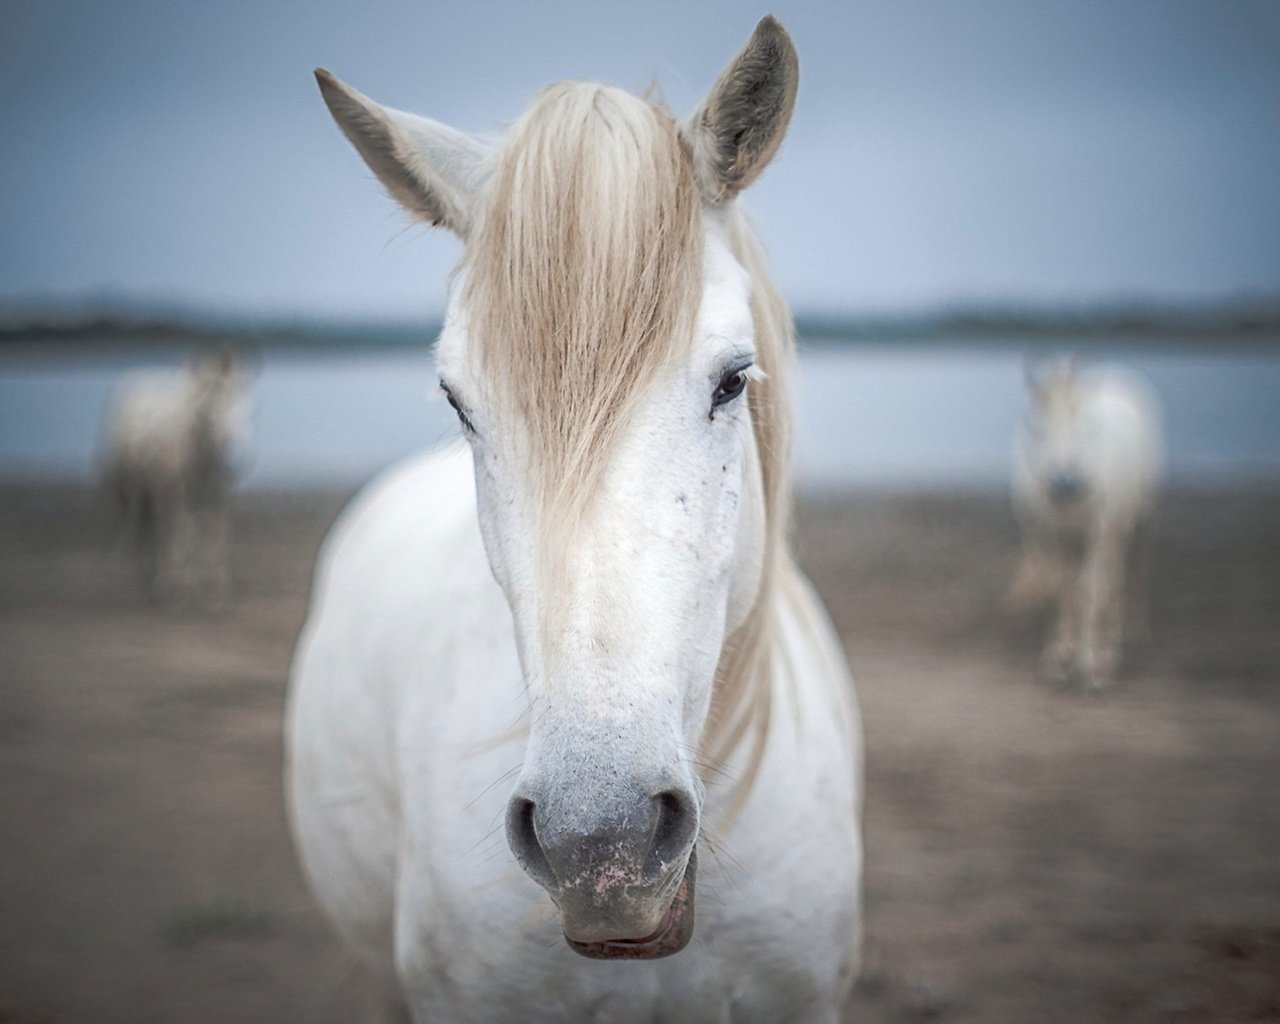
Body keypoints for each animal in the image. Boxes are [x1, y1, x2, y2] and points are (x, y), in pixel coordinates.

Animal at [103, 348, 245, 604]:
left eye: (238, 396)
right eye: (206, 406)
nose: (231, 449)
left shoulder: (220, 496)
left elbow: (215, 534)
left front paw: (216, 589)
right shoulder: (179, 494)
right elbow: (183, 532)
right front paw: (181, 587)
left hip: (151, 488)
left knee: (150, 523)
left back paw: (150, 574)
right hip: (129, 481)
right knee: (133, 520)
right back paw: (135, 573)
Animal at [1013, 358, 1167, 686]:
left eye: (1084, 424)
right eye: (1037, 429)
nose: (1065, 483)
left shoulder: (1100, 532)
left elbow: (1092, 591)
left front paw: (1094, 666)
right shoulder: (1054, 536)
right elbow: (1064, 591)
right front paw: (1061, 658)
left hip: (1142, 520)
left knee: (1133, 569)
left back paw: (1132, 630)